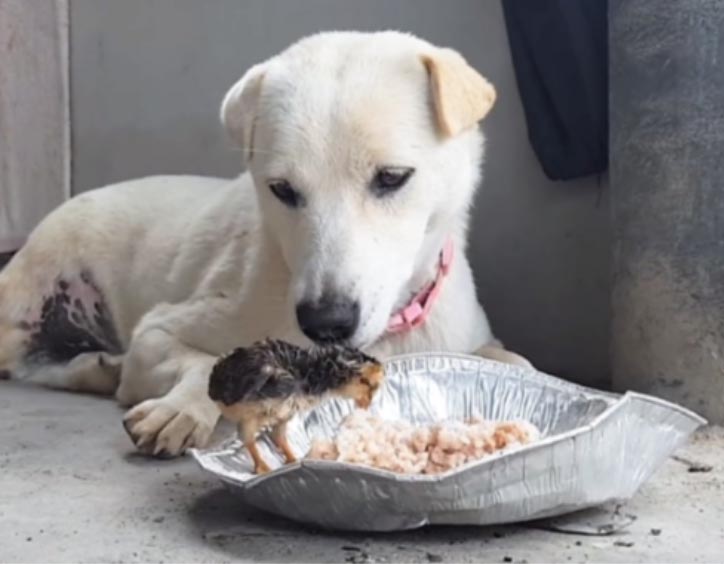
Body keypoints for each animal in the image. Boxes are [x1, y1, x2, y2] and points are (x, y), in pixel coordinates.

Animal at [0, 30, 532, 456]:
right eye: (282, 189)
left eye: (393, 177)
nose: (326, 323)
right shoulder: (160, 330)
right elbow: (203, 361)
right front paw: (183, 408)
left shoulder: (471, 341)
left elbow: (515, 361)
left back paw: (101, 366)